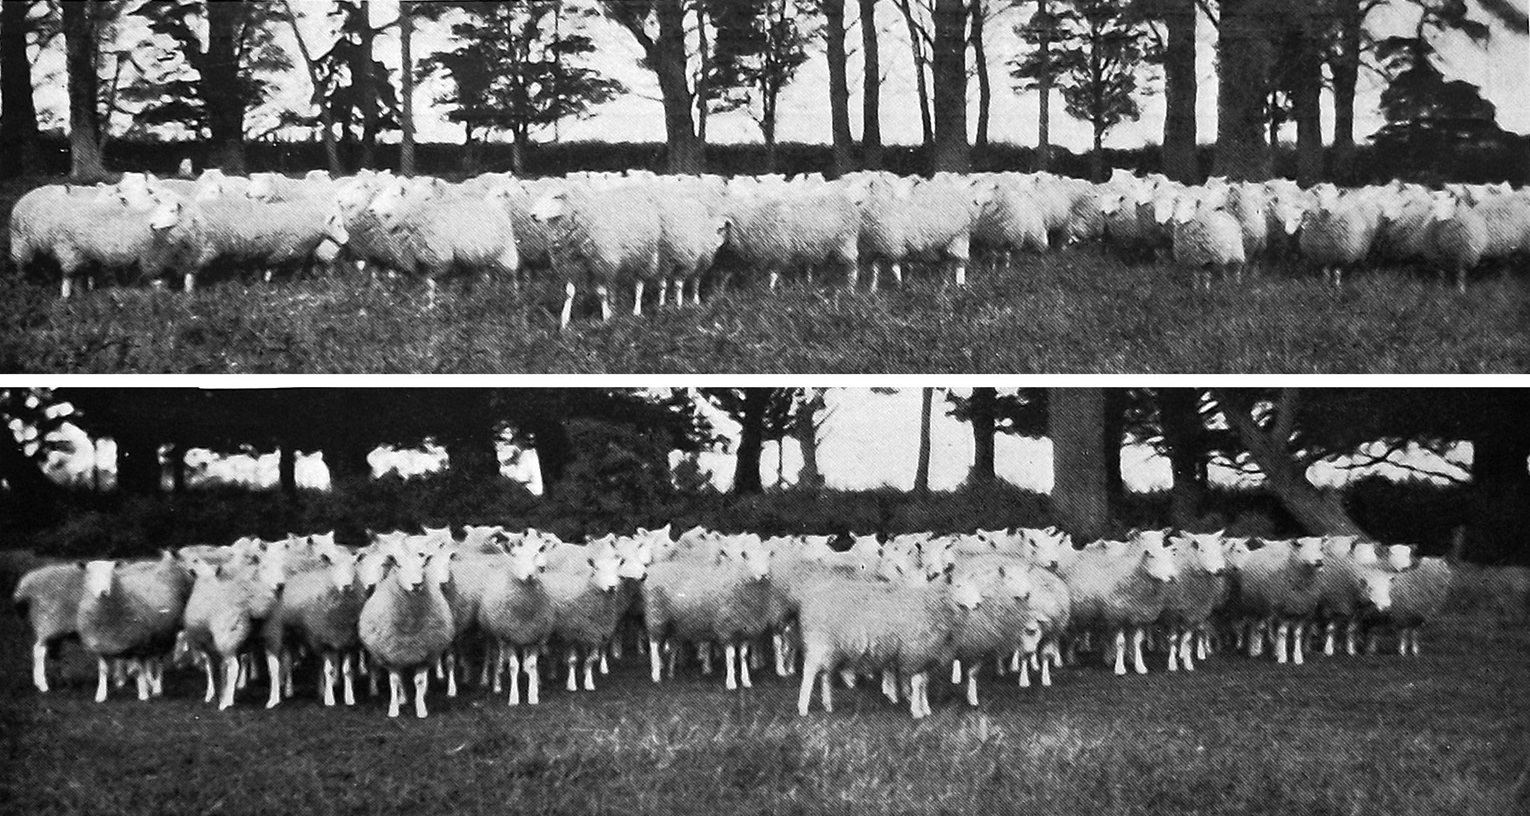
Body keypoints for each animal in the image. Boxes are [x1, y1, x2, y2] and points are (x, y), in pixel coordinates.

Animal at [12, 561, 84, 692]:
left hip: (55, 628)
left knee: (54, 653)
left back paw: (65, 681)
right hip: (49, 622)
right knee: (39, 650)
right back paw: (43, 685)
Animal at [75, 553, 193, 703]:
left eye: (112, 574)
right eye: (89, 573)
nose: (103, 592)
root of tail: (160, 563)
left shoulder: (136, 643)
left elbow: (138, 670)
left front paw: (143, 694)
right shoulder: (100, 644)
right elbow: (103, 670)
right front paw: (101, 695)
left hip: (164, 635)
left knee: (158, 662)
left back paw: (156, 688)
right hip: (150, 636)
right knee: (148, 662)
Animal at [357, 537, 456, 718]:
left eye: (423, 565)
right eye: (400, 566)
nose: (417, 584)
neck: (410, 623)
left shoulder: (426, 654)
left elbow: (419, 681)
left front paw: (421, 708)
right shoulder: (390, 654)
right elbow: (395, 680)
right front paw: (393, 709)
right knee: (399, 678)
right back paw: (401, 698)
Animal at [1057, 531, 1178, 676]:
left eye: (1169, 553)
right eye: (1149, 553)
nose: (1172, 577)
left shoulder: (1137, 617)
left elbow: (1137, 641)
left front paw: (1139, 666)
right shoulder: (1117, 616)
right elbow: (1121, 642)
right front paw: (1120, 668)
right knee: (1066, 636)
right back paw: (1067, 659)